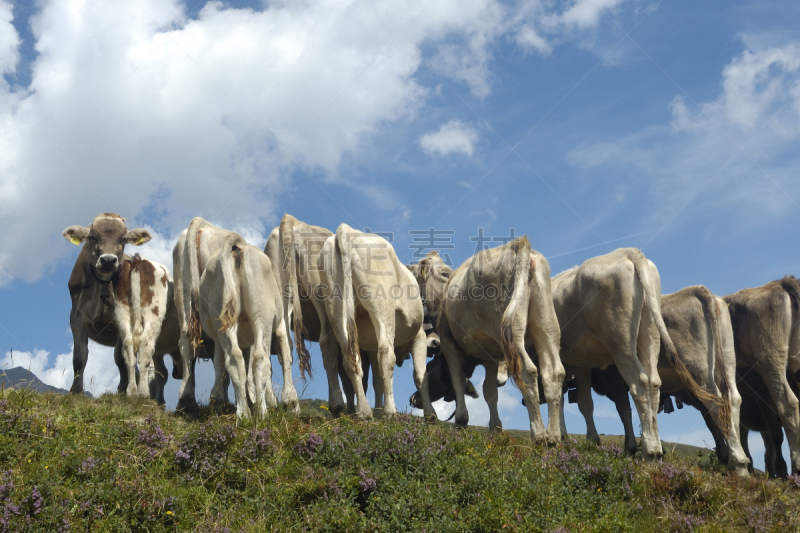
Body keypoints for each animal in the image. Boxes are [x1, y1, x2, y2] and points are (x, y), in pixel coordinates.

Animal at [316, 222, 434, 418]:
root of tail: (347, 231)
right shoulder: (418, 336)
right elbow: (420, 375)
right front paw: (431, 414)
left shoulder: (370, 344)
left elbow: (377, 379)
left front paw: (378, 411)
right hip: (381, 306)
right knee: (386, 352)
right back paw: (390, 411)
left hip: (335, 305)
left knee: (347, 357)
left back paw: (363, 411)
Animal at [416, 239, 564, 442]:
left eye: (430, 368)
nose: (413, 399)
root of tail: (519, 244)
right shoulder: (490, 356)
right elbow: (490, 391)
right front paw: (495, 428)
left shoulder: (448, 342)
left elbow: (458, 379)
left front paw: (461, 421)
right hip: (546, 326)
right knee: (555, 373)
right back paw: (554, 438)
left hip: (510, 330)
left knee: (528, 371)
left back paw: (539, 435)